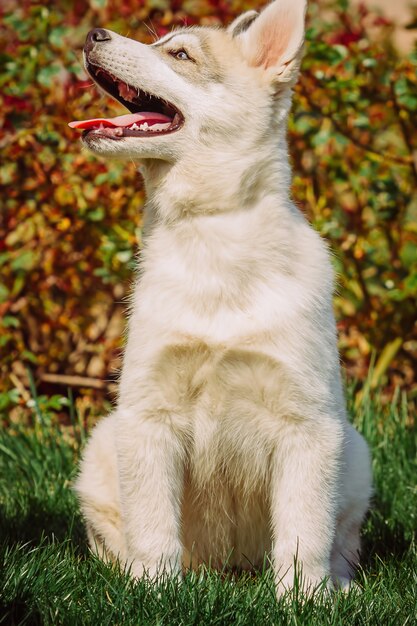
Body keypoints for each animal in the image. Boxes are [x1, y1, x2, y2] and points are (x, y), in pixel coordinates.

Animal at [70, 0, 370, 596]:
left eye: (181, 54)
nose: (92, 34)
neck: (211, 234)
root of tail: (230, 571)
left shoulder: (308, 424)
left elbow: (304, 532)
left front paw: (305, 600)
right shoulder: (149, 415)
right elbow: (153, 527)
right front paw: (153, 594)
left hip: (356, 454)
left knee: (340, 540)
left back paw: (341, 586)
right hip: (103, 447)